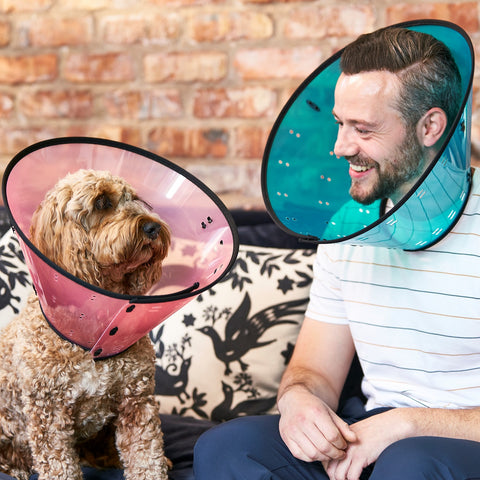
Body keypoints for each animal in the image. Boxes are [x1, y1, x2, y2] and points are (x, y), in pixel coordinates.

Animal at [0, 170, 172, 480]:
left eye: (136, 199)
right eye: (101, 202)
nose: (153, 226)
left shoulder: (137, 401)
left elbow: (146, 459)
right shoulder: (49, 414)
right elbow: (60, 467)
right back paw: (14, 467)